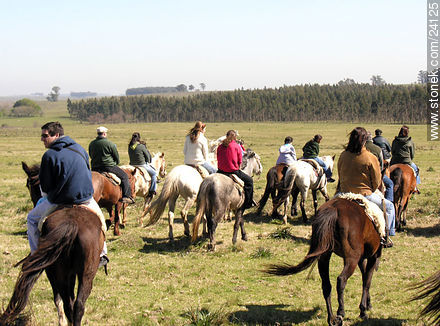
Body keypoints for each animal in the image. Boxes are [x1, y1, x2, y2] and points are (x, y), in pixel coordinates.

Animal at [0, 163, 105, 326]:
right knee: (77, 304)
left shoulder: (51, 271)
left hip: (63, 272)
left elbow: (57, 299)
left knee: (70, 303)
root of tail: (72, 223)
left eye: (28, 185)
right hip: (86, 272)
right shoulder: (70, 273)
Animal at [264, 196, 382, 326]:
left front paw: (367, 305)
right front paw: (363, 310)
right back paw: (340, 313)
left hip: (325, 256)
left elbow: (364, 275)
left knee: (326, 285)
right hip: (351, 258)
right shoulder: (373, 256)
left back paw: (331, 318)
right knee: (341, 279)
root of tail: (334, 209)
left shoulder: (361, 258)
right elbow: (367, 281)